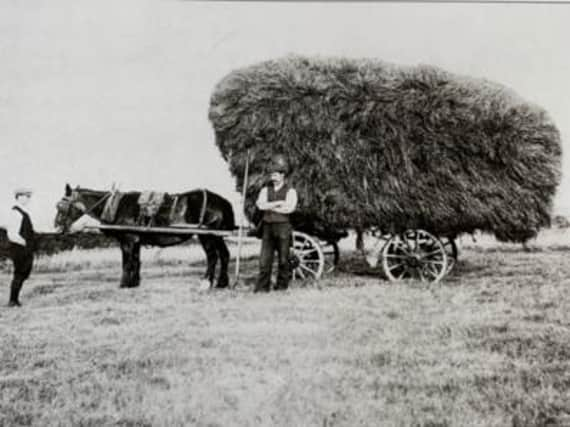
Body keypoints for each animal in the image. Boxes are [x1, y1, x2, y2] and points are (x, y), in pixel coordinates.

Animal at [55, 185, 235, 290]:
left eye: (61, 205)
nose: (56, 226)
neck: (116, 207)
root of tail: (223, 202)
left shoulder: (128, 239)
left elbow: (127, 261)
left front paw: (124, 283)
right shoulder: (136, 240)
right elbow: (136, 260)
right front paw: (134, 282)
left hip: (208, 235)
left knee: (212, 257)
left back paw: (206, 282)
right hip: (218, 236)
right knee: (224, 255)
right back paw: (222, 283)